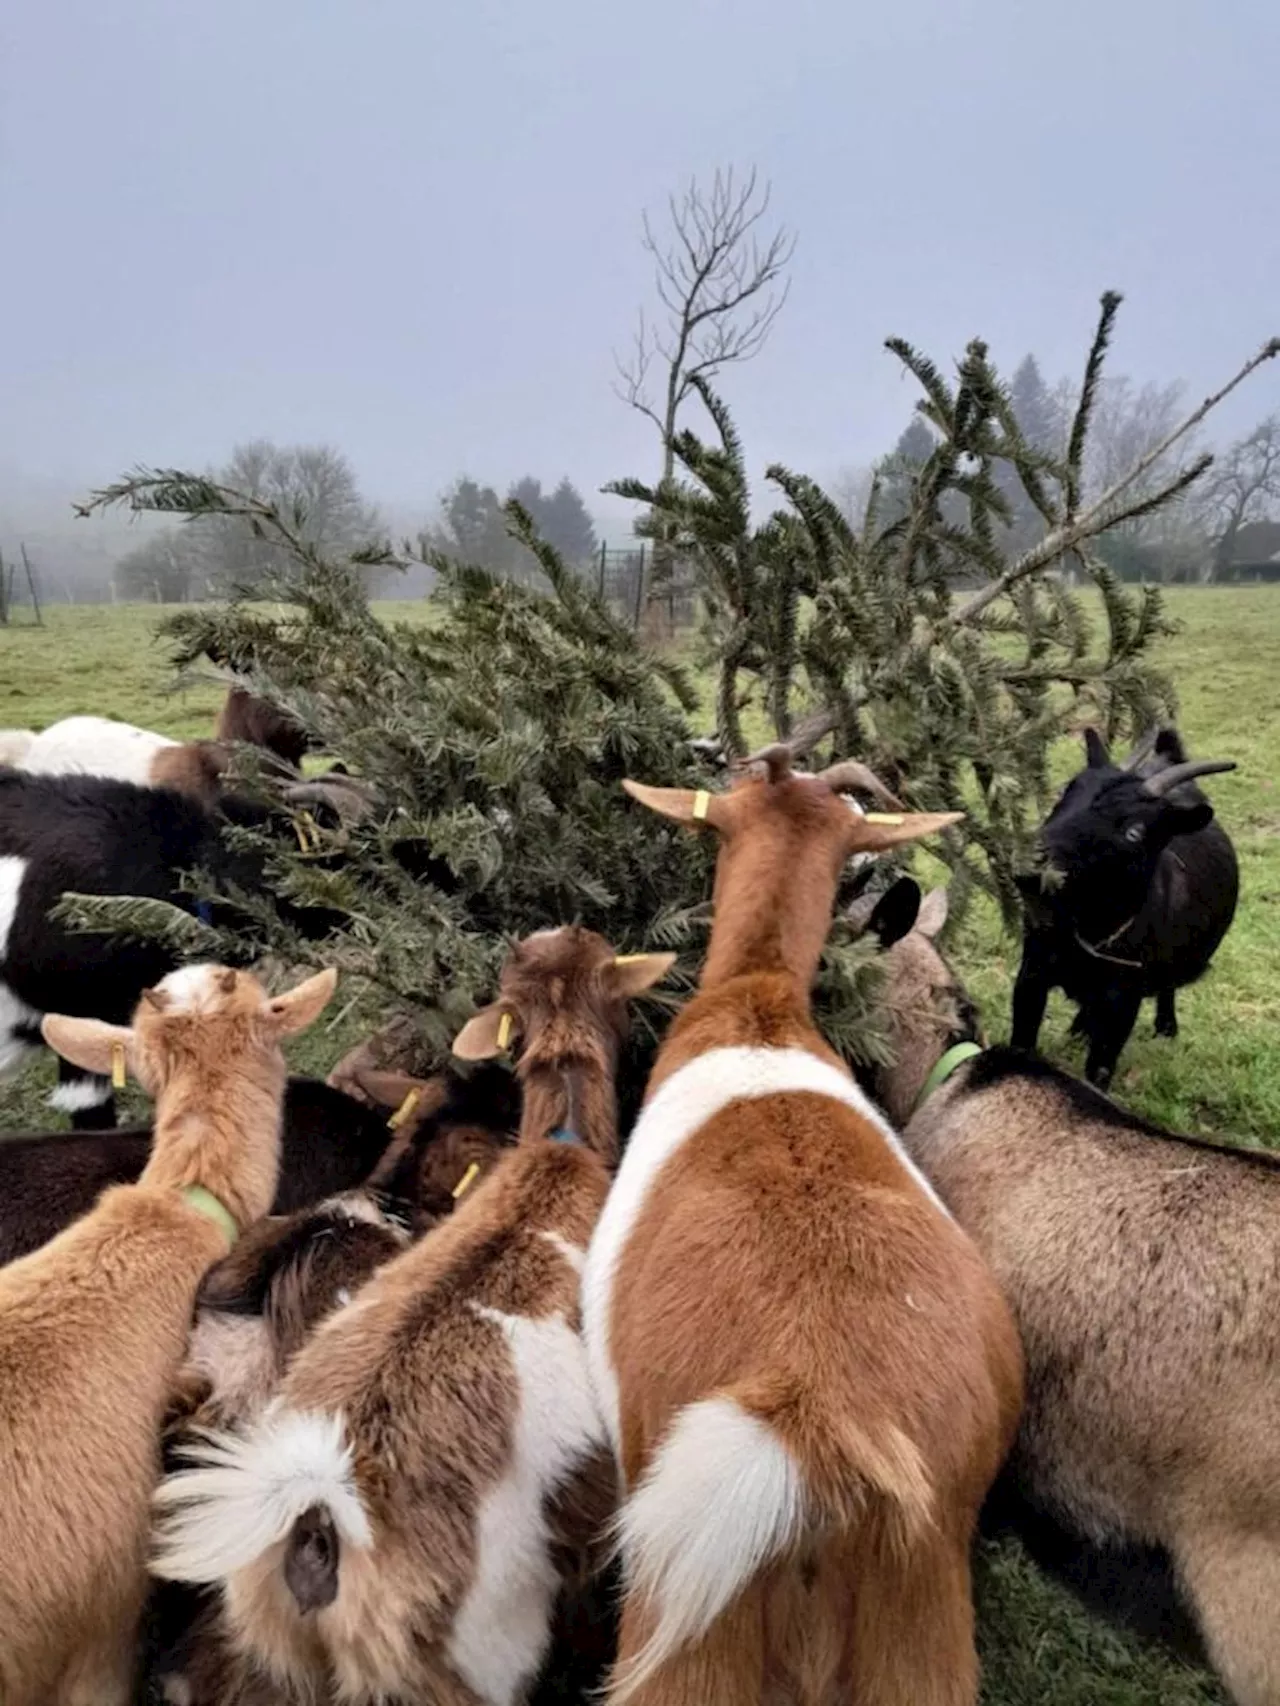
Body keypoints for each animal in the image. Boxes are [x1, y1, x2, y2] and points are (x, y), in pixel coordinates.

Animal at [1010, 726, 1242, 1085]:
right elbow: (1020, 1044)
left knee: (1167, 988)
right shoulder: (1032, 972)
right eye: (1064, 791)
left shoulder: (1122, 1001)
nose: (1031, 864)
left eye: (1134, 832)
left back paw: (1165, 1028)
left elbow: (1100, 1068)